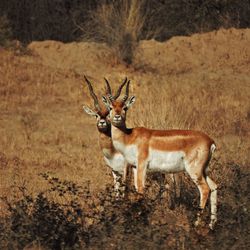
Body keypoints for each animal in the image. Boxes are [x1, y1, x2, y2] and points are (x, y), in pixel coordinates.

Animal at [102, 79, 218, 229]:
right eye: (111, 107)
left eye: (125, 107)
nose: (117, 117)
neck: (129, 137)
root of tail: (210, 141)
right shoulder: (135, 166)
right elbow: (136, 187)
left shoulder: (142, 164)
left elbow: (140, 188)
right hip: (204, 170)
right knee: (214, 186)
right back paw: (211, 225)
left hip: (194, 170)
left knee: (205, 189)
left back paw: (196, 224)